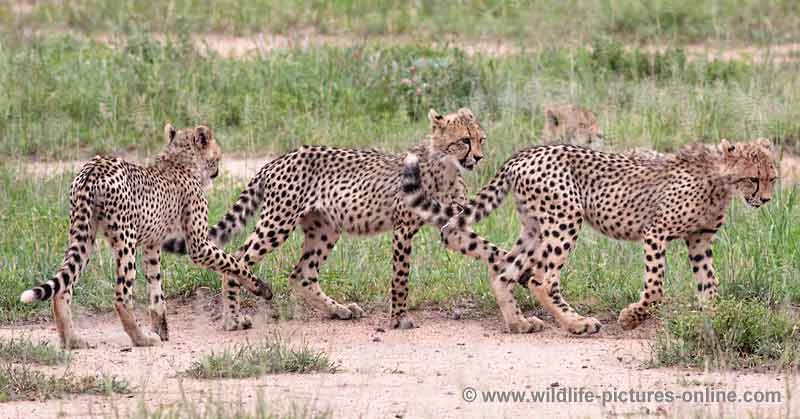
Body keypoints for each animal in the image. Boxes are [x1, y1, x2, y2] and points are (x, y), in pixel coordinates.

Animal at [19, 124, 272, 352]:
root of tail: (94, 168)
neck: (179, 161)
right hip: (125, 241)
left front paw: (161, 328)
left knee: (63, 289)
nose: (217, 169)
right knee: (121, 296)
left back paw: (72, 341)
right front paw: (260, 286)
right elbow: (233, 262)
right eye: (217, 156)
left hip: (84, 235)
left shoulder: (152, 245)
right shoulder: (198, 245)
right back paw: (141, 339)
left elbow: (156, 289)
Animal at [162, 108, 484, 332]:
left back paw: (338, 310)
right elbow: (401, 276)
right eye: (464, 141)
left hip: (325, 228)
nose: (480, 157)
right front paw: (399, 319)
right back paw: (233, 319)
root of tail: (277, 159)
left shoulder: (451, 221)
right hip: (278, 223)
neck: (444, 168)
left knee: (301, 274)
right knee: (239, 257)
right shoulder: (403, 228)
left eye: (481, 139)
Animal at [404, 139, 780, 336]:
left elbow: (709, 284)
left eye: (772, 178)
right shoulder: (656, 232)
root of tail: (524, 153)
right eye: (752, 178)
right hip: (565, 220)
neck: (720, 180)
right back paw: (576, 323)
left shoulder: (699, 240)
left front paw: (712, 321)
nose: (765, 200)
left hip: (534, 227)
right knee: (540, 278)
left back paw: (519, 322)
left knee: (505, 271)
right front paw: (632, 317)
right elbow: (655, 288)